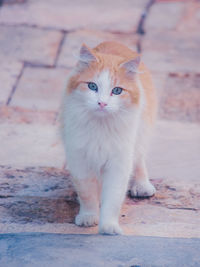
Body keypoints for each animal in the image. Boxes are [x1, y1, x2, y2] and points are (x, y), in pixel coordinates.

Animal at [60, 40, 157, 236]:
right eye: (92, 86)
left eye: (117, 90)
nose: (102, 103)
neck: (101, 125)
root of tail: (114, 41)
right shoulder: (80, 159)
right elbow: (87, 193)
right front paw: (89, 217)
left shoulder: (119, 162)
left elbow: (112, 198)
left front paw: (108, 227)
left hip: (141, 134)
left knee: (140, 160)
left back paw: (142, 186)